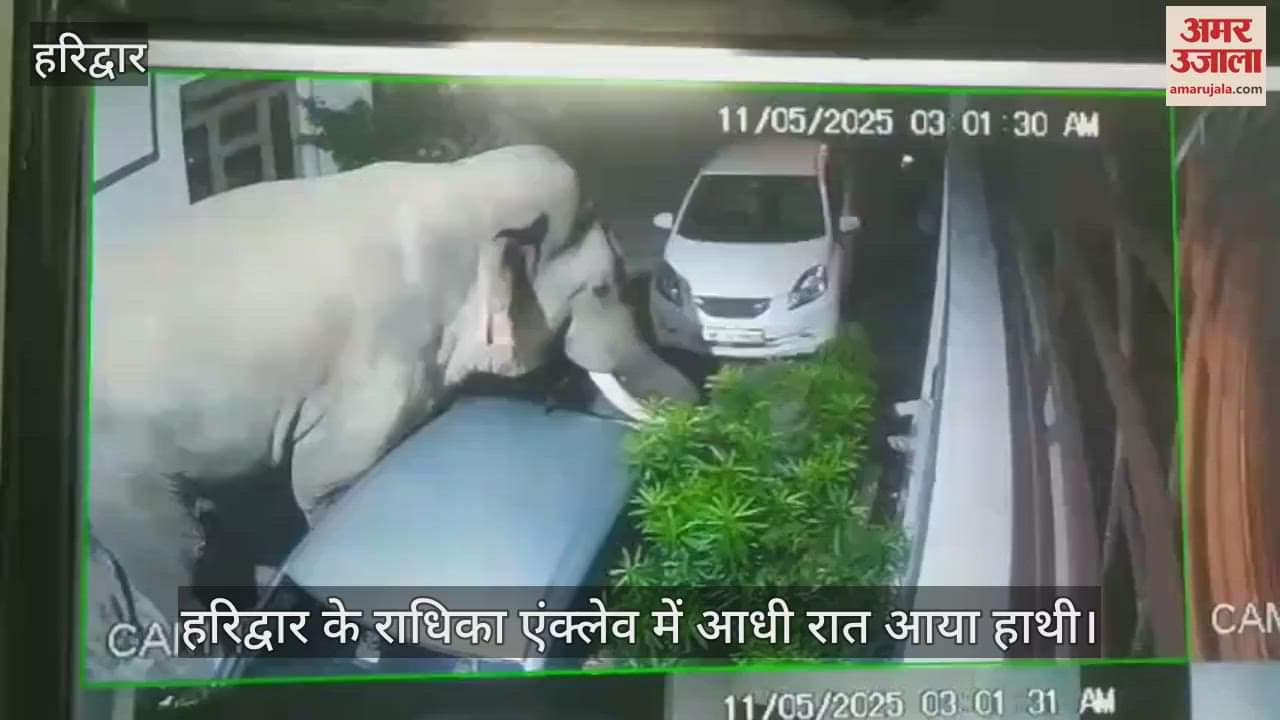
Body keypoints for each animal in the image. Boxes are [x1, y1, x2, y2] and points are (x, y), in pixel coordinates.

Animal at [87, 144, 698, 659]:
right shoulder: (382, 358)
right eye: (602, 289)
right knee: (172, 546)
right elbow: (321, 475)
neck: (459, 185)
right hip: (119, 461)